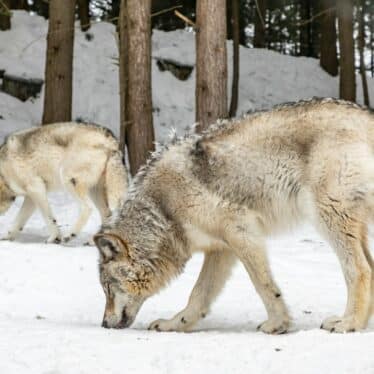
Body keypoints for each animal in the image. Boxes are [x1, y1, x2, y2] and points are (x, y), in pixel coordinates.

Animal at [0, 123, 129, 243]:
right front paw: (6, 237)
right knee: (107, 214)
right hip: (94, 190)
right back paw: (93, 241)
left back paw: (69, 235)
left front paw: (54, 238)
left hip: (69, 180)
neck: (4, 173)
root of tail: (109, 139)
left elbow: (49, 217)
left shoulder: (36, 188)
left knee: (87, 208)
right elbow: (18, 221)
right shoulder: (31, 197)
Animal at [93, 98, 374, 334]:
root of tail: (367, 116)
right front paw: (174, 324)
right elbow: (198, 294)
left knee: (360, 270)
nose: (104, 324)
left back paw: (348, 323)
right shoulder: (221, 249)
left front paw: (277, 324)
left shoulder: (242, 231)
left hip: (328, 218)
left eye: (107, 288)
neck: (163, 208)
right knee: (369, 267)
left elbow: (263, 285)